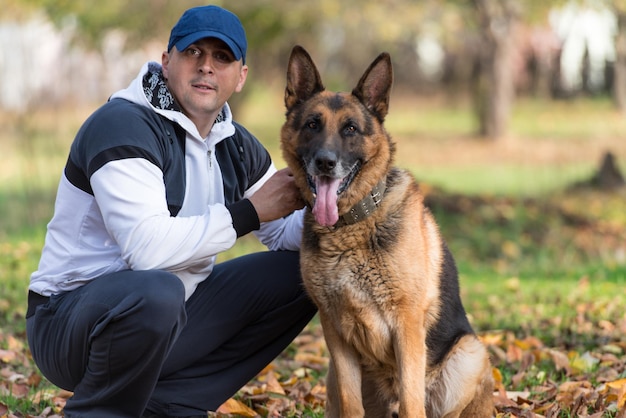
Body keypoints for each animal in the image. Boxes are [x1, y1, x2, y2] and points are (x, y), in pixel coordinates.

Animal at [282, 44, 492, 416]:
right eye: (312, 124)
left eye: (351, 128)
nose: (325, 162)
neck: (351, 225)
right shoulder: (335, 333)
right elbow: (351, 404)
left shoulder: (406, 327)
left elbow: (411, 402)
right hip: (332, 377)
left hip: (469, 355)